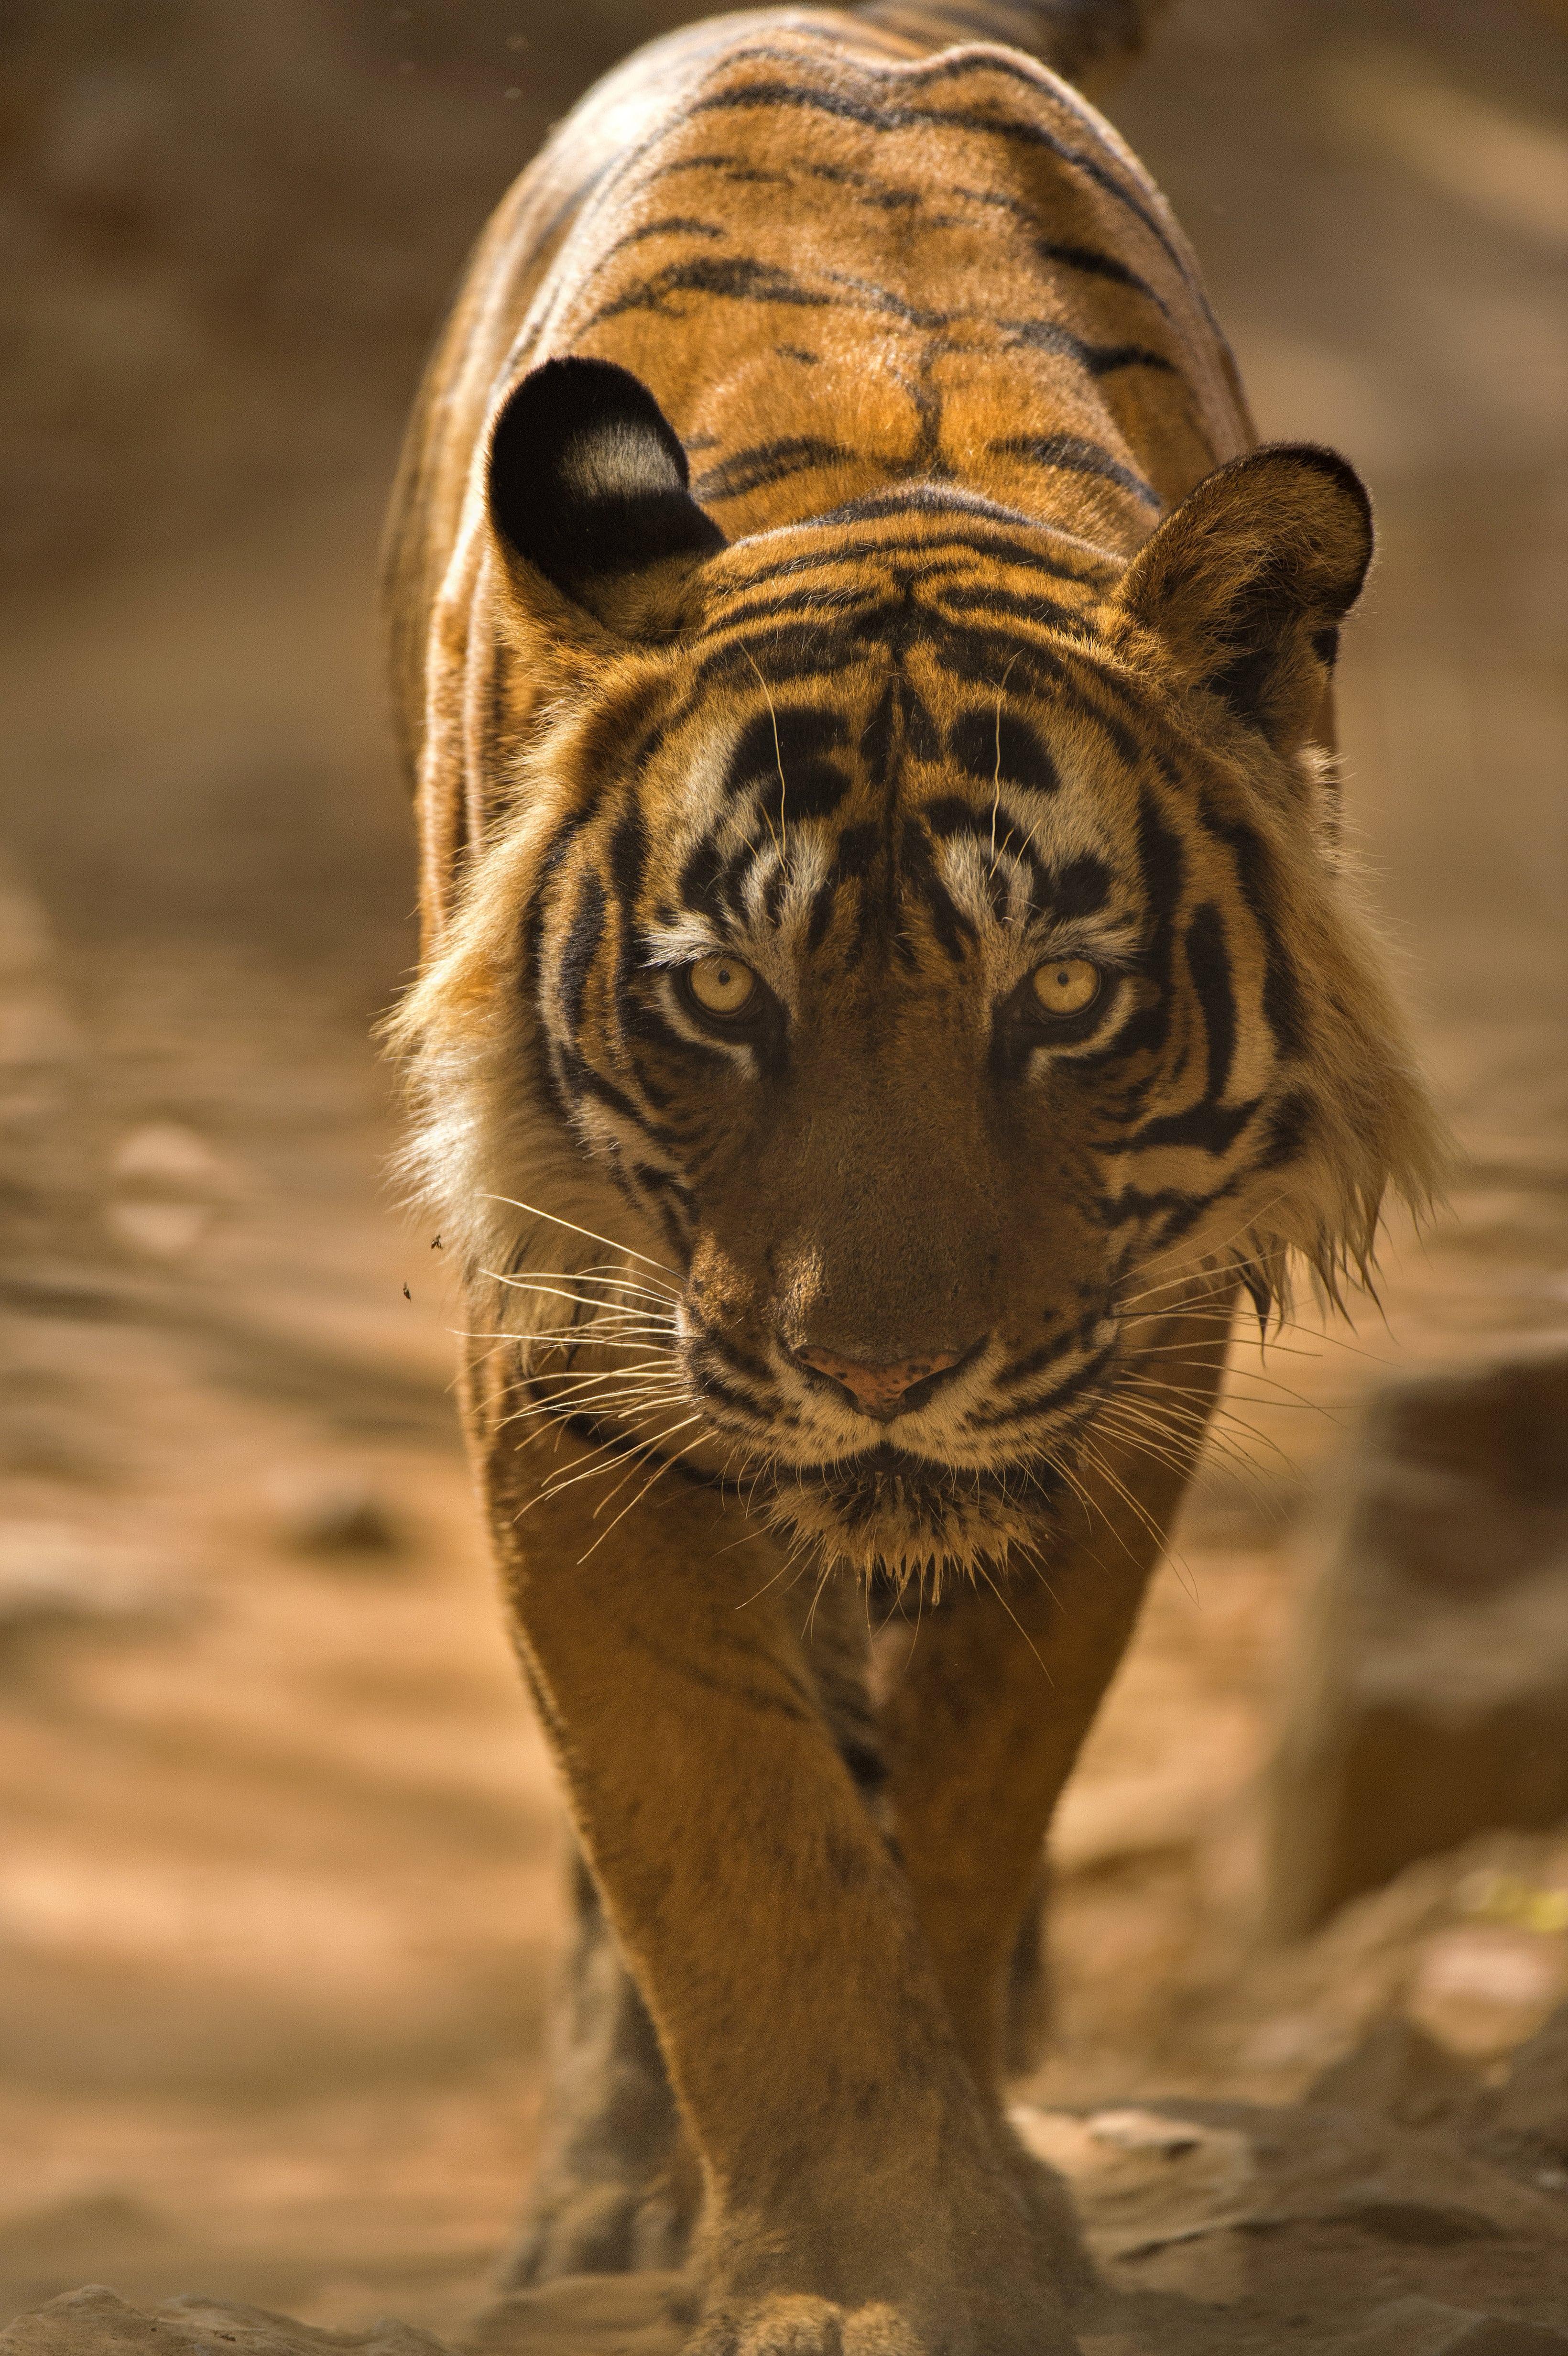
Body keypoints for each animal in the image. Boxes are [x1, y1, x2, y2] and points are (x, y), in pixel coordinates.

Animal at [379, 4, 1431, 2356]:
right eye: (716, 990)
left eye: (1061, 991)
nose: (877, 1378)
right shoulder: (571, 1357)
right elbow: (722, 1828)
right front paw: (849, 2267)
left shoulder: (1127, 1379)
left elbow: (958, 1795)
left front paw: (949, 2231)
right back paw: (603, 2199)